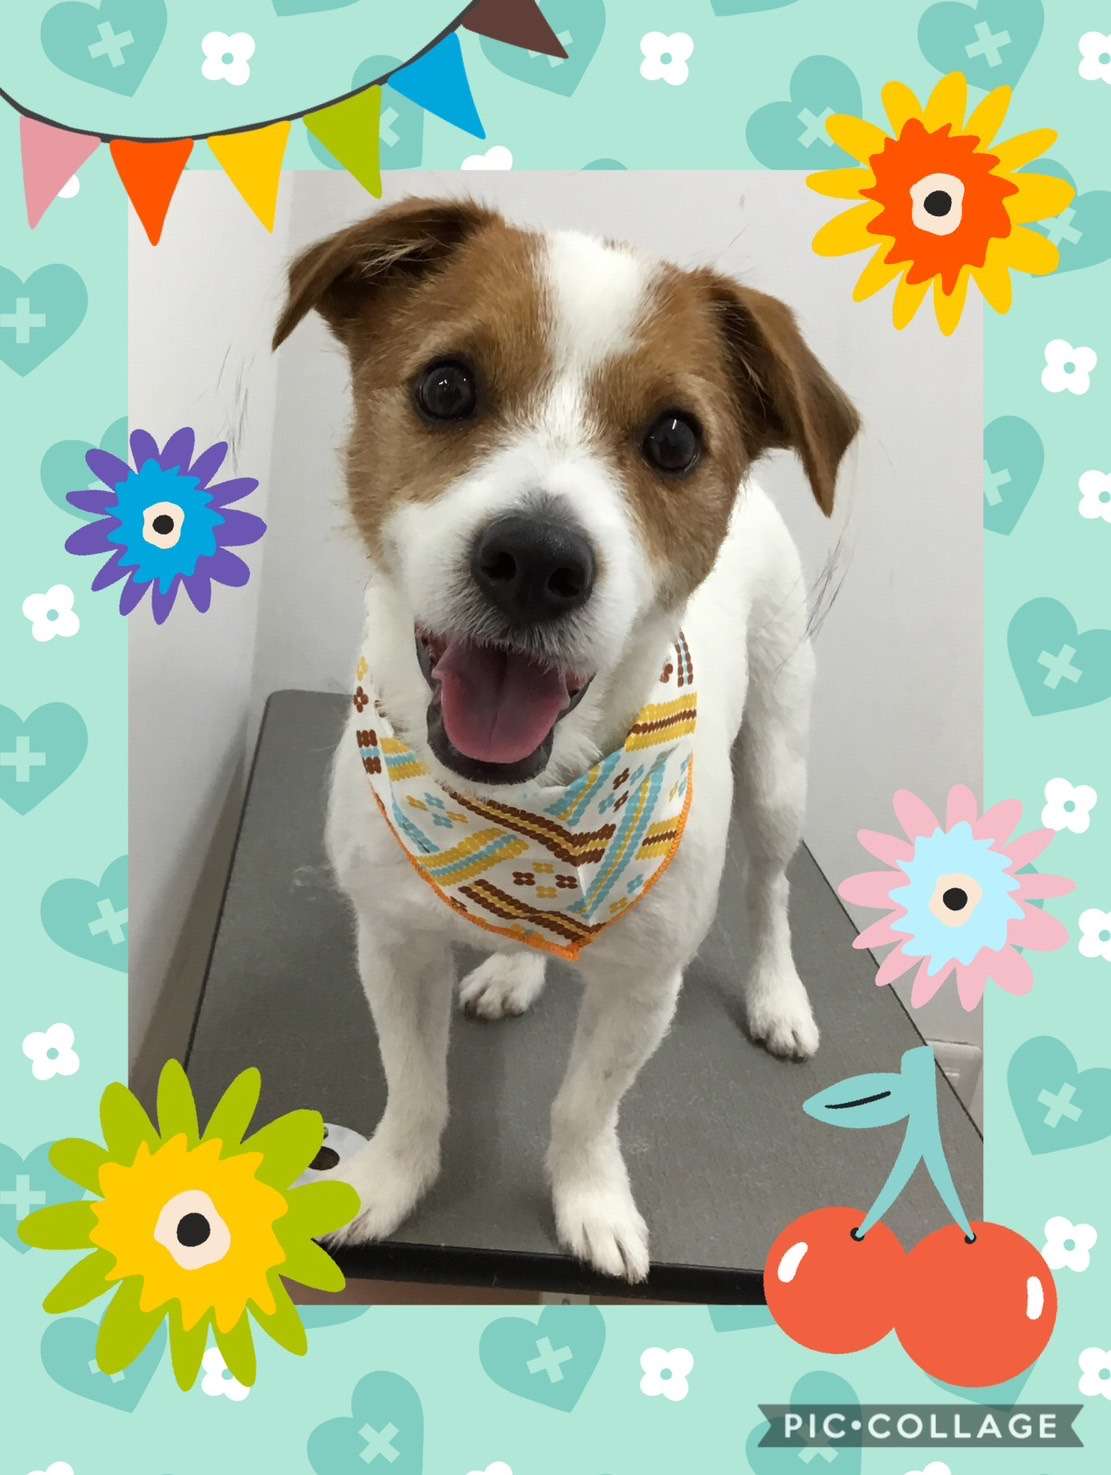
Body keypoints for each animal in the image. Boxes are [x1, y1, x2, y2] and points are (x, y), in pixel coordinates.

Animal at [272, 196, 859, 1282]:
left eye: (673, 439)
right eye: (446, 385)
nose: (536, 559)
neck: (517, 805)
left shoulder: (643, 986)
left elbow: (586, 1109)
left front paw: (589, 1201)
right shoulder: (394, 939)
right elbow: (414, 1088)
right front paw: (387, 1181)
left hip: (775, 769)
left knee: (771, 889)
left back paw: (777, 994)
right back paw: (515, 964)